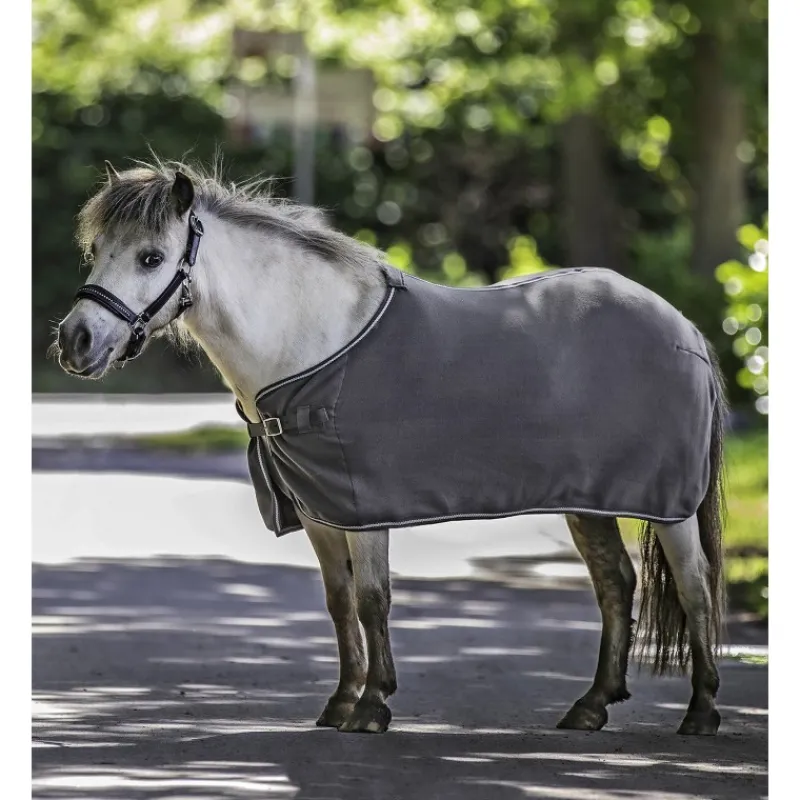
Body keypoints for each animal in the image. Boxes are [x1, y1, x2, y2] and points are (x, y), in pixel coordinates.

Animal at [54, 160, 727, 736]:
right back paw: (591, 707)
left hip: (669, 505)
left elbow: (373, 599)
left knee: (695, 586)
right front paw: (340, 701)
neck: (310, 341)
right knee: (616, 584)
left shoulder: (363, 506)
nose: (74, 341)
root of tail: (684, 328)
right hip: (589, 501)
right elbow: (339, 601)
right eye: (97, 251)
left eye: (151, 256)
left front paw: (373, 705)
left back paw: (701, 712)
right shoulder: (320, 511)